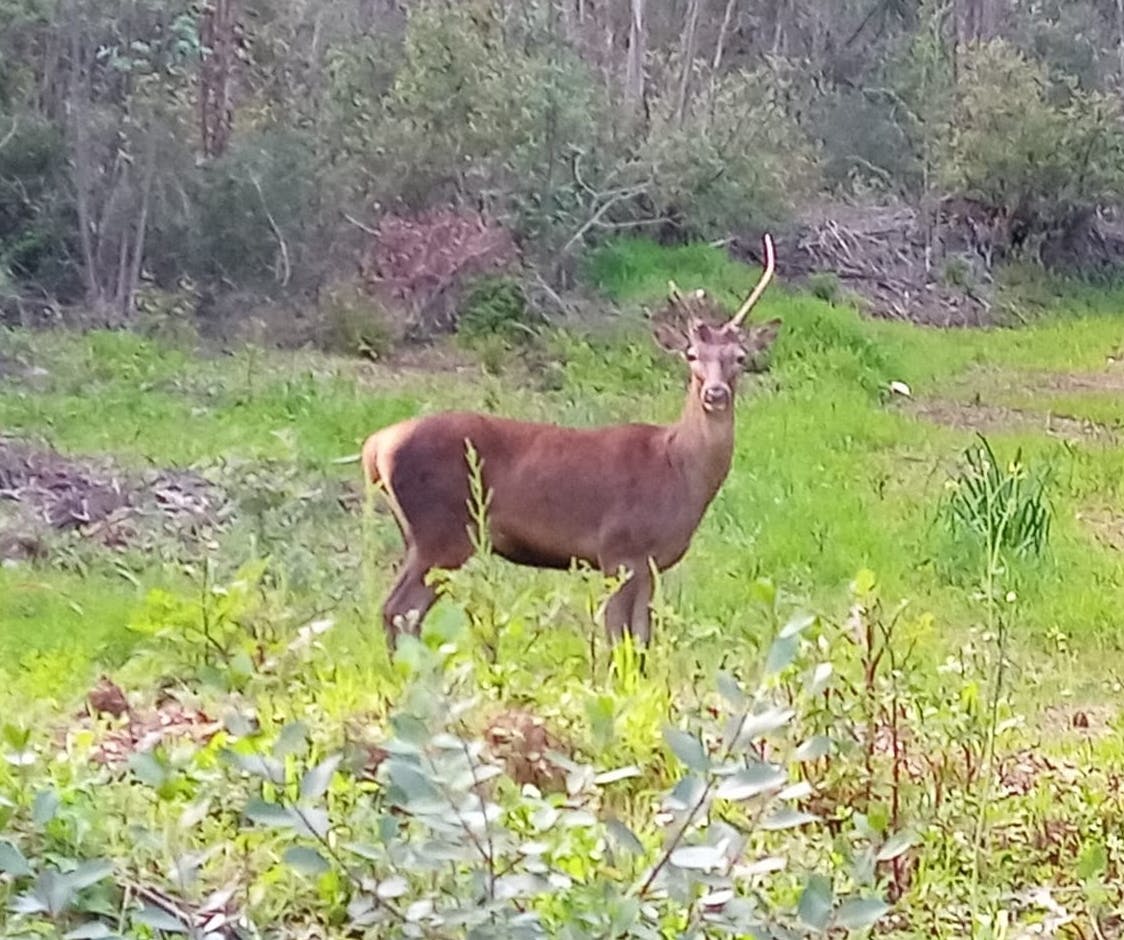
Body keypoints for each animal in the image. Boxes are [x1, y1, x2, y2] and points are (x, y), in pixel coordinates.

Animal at [361, 232, 782, 652]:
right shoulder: (618, 550)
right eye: (691, 354)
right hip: (443, 531)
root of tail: (376, 446)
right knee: (399, 609)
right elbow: (617, 639)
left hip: (424, 538)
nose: (715, 393)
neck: (677, 468)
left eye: (740, 356)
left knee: (401, 611)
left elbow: (641, 640)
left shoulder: (651, 564)